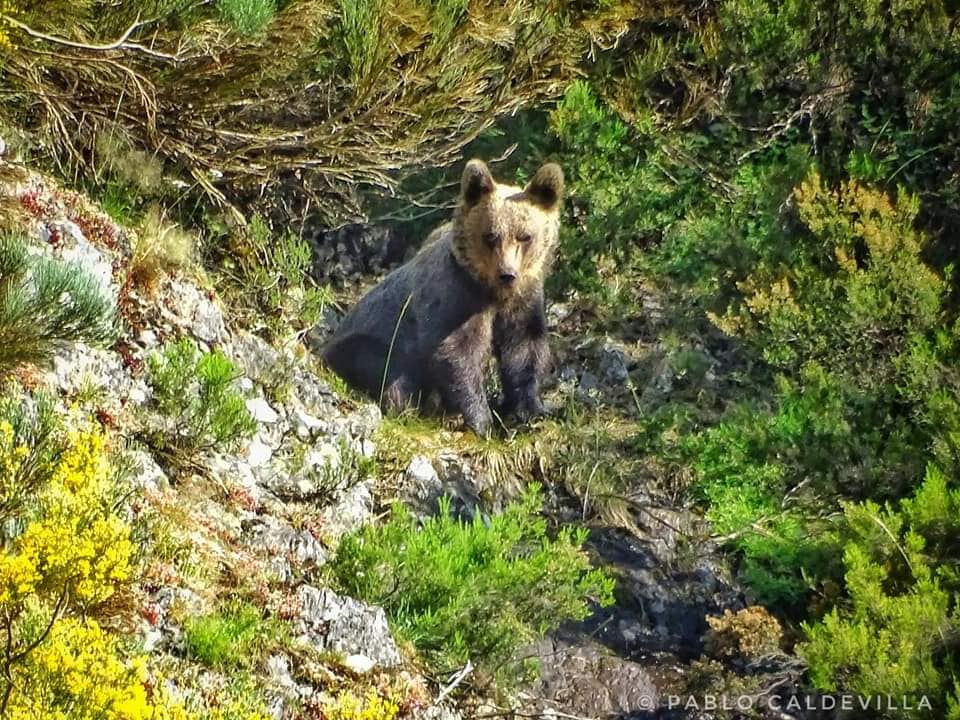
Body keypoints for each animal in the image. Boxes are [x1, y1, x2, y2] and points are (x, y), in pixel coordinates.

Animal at [318, 160, 568, 436]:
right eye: (491, 236)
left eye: (524, 236)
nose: (507, 273)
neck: (492, 291)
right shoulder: (455, 298)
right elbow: (457, 353)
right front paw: (482, 421)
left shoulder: (523, 300)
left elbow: (525, 350)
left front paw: (532, 411)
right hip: (365, 344)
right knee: (389, 371)